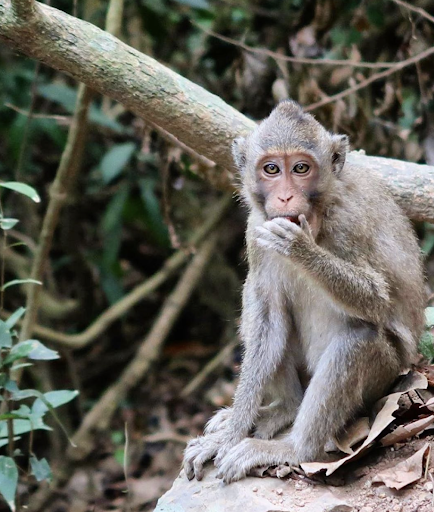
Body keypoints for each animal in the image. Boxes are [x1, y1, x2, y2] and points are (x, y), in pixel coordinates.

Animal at [181, 99, 426, 484]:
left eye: (300, 168)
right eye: (271, 168)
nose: (285, 196)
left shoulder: (347, 224)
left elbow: (377, 298)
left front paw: (300, 249)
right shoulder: (256, 229)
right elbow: (267, 321)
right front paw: (229, 435)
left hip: (387, 375)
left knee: (358, 339)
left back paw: (294, 449)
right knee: (263, 312)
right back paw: (283, 409)